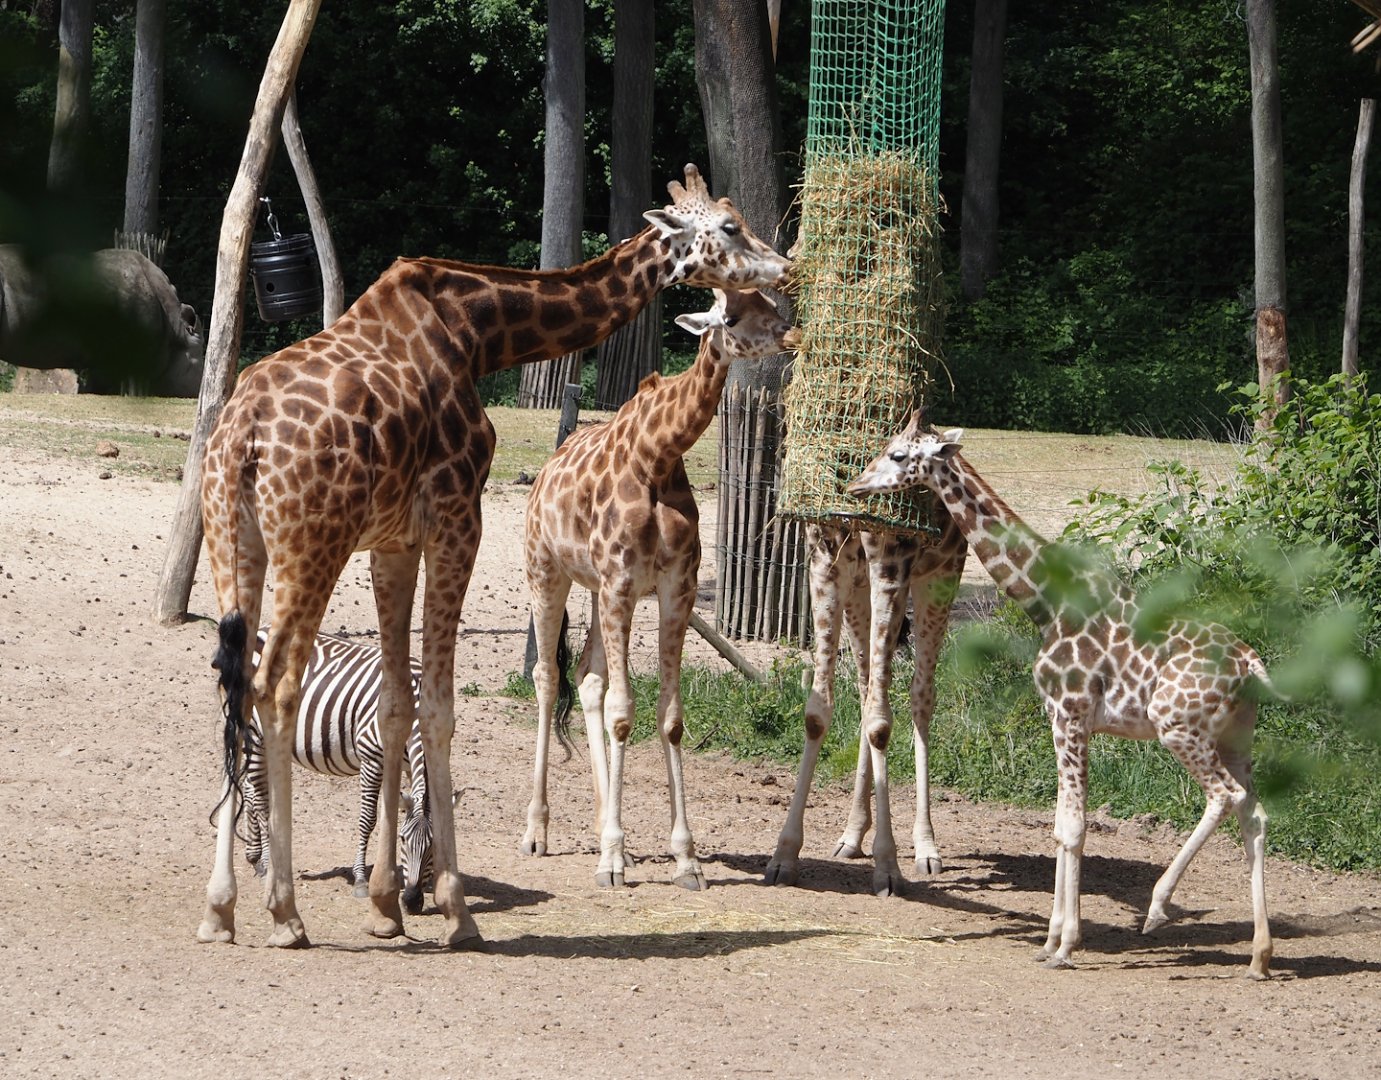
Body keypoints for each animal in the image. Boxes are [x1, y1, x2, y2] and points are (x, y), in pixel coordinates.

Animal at [523, 288, 800, 890]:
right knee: (549, 677)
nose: (794, 336)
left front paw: (685, 858)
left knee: (588, 679)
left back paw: (611, 833)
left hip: (595, 590)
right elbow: (625, 712)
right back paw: (538, 832)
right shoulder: (623, 583)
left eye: (773, 303)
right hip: (546, 572)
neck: (658, 456)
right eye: (732, 316)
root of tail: (545, 470)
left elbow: (669, 719)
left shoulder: (675, 588)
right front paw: (609, 859)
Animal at [764, 515, 967, 896]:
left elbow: (881, 723)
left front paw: (888, 868)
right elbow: (817, 714)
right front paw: (783, 857)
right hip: (860, 589)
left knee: (921, 695)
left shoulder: (892, 566)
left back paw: (926, 848)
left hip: (942, 574)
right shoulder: (827, 561)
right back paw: (852, 835)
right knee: (865, 686)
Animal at [846, 413, 1274, 978]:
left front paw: (1066, 944)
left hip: (1177, 726)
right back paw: (1260, 955)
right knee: (1255, 815)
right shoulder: (1070, 720)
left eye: (898, 454)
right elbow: (1059, 826)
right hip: (1235, 737)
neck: (1045, 602)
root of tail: (1249, 664)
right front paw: (1051, 939)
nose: (855, 484)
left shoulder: (1067, 713)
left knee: (1224, 797)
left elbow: (1071, 827)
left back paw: (1159, 907)